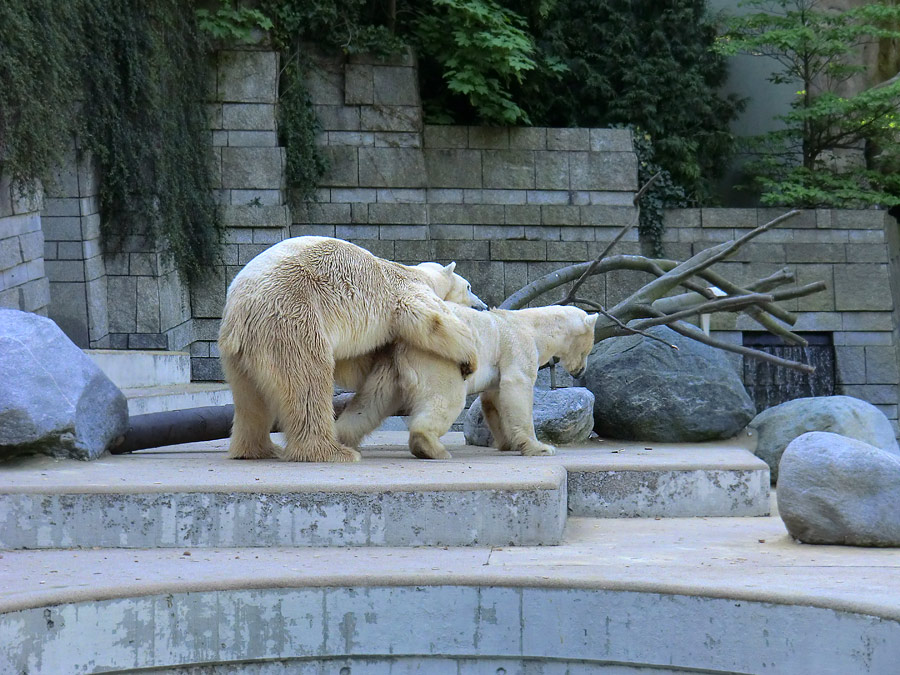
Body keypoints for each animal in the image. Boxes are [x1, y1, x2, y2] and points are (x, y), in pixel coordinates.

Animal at [219, 234, 486, 464]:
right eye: (469, 286)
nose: (482, 306)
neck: (416, 272)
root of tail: (240, 313)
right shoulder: (406, 289)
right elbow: (432, 319)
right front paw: (470, 359)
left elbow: (360, 360)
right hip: (292, 320)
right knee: (308, 382)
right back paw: (332, 451)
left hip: (238, 353)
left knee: (250, 400)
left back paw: (257, 449)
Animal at [336, 304, 596, 460]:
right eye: (588, 349)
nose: (581, 371)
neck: (534, 327)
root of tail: (404, 342)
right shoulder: (518, 346)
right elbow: (517, 385)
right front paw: (540, 447)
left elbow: (493, 399)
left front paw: (508, 443)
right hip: (441, 361)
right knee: (447, 399)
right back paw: (432, 448)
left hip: (390, 368)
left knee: (371, 403)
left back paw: (343, 439)